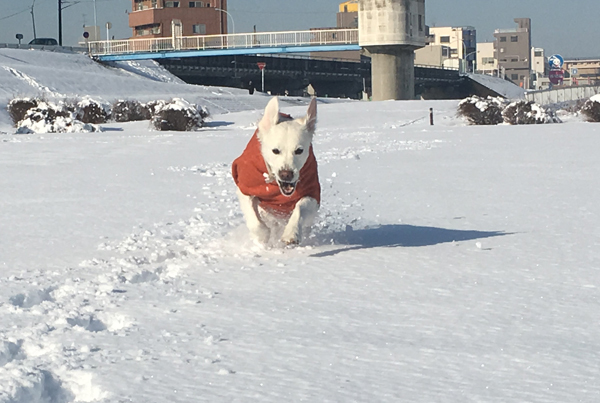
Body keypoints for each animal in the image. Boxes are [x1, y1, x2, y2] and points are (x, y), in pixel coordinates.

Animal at [232, 97, 322, 246]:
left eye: (299, 150)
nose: (286, 174)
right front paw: (262, 235)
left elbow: (300, 208)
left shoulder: (313, 194)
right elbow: (254, 218)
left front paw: (291, 233)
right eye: (275, 150)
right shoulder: (245, 189)